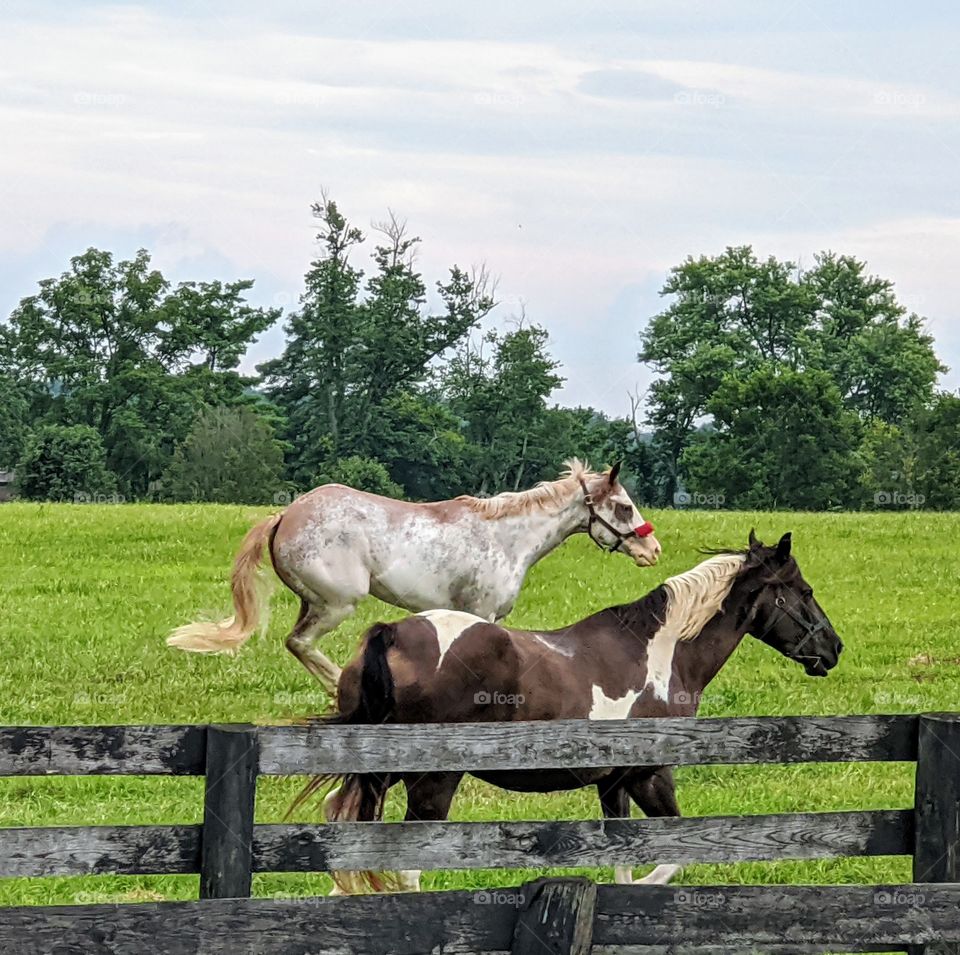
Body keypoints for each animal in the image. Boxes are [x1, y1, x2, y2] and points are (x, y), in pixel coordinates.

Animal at [167, 460, 660, 692]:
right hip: (337, 603)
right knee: (300, 643)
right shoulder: (481, 614)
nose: (652, 550)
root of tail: (286, 514)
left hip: (314, 602)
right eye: (623, 506)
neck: (506, 538)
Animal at [306, 532, 840, 896]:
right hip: (431, 781)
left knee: (342, 821)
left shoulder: (614, 783)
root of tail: (391, 633)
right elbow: (669, 862)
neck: (663, 654)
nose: (833, 649)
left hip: (380, 773)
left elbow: (625, 861)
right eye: (806, 591)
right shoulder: (649, 775)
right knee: (406, 864)